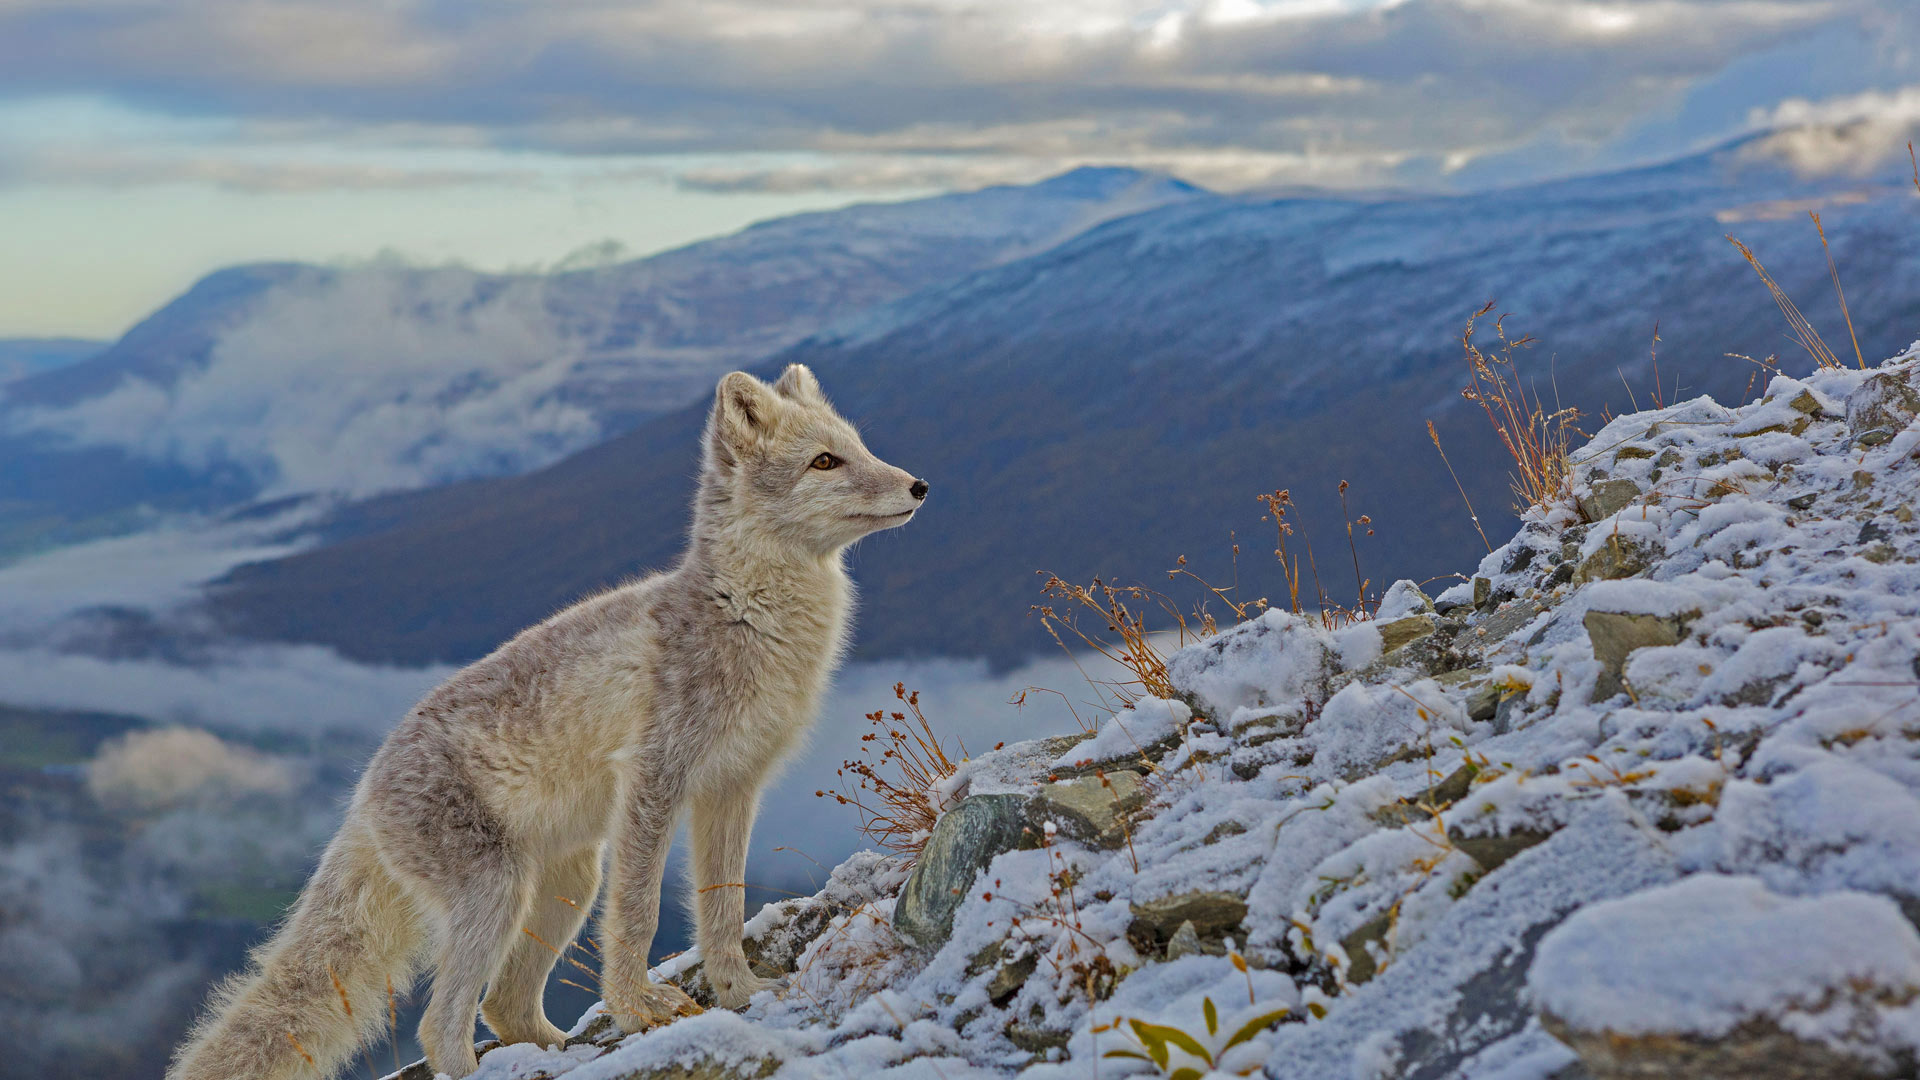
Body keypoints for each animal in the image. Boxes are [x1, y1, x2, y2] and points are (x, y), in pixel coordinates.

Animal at [161, 363, 925, 1076]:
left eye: (857, 447)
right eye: (824, 462)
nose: (919, 486)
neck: (746, 616)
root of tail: (364, 790)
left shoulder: (732, 790)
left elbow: (721, 911)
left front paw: (740, 994)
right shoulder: (654, 783)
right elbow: (641, 915)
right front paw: (637, 1010)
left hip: (565, 884)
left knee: (504, 1007)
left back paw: (551, 1050)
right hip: (501, 894)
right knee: (441, 1024)